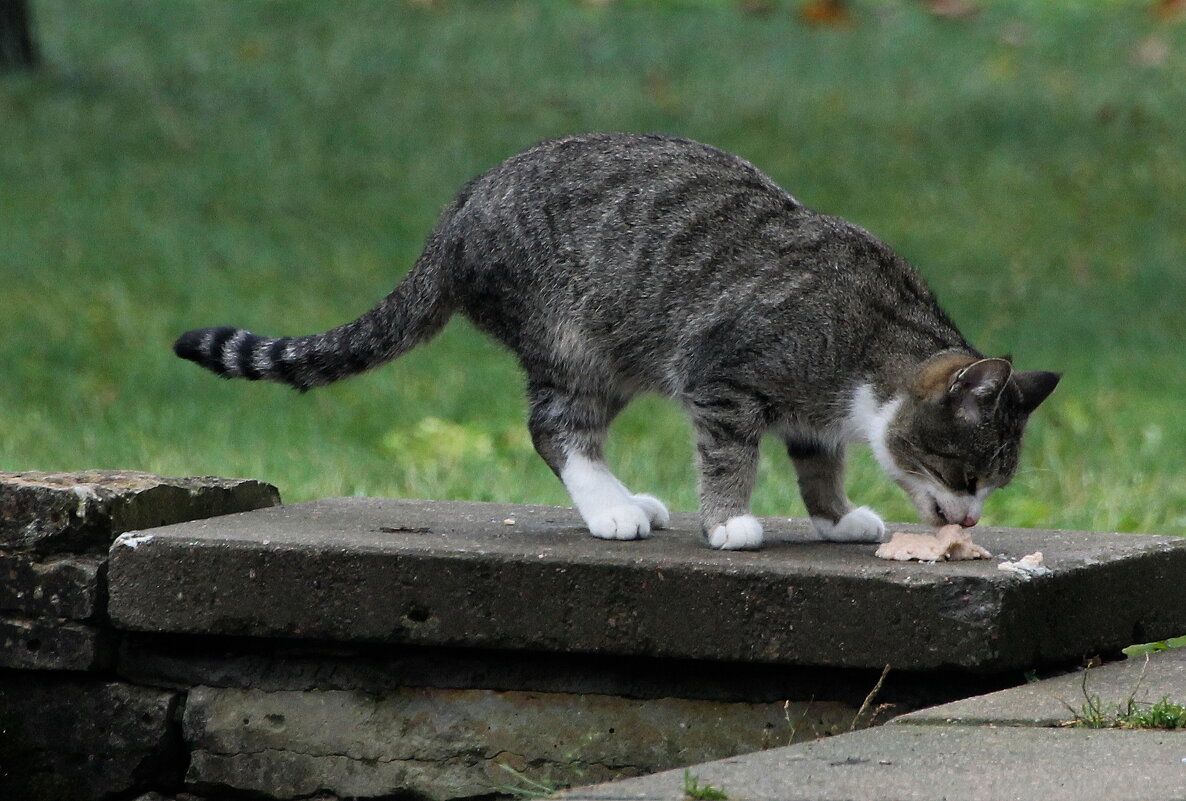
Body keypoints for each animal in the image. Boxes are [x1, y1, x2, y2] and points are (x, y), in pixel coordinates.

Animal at [171, 132, 1062, 550]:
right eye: (967, 471)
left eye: (994, 482)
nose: (970, 521)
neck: (870, 337)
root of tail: (457, 214)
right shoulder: (723, 376)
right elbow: (730, 458)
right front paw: (729, 522)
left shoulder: (811, 414)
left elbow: (819, 464)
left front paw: (836, 517)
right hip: (575, 339)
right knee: (554, 427)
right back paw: (609, 506)